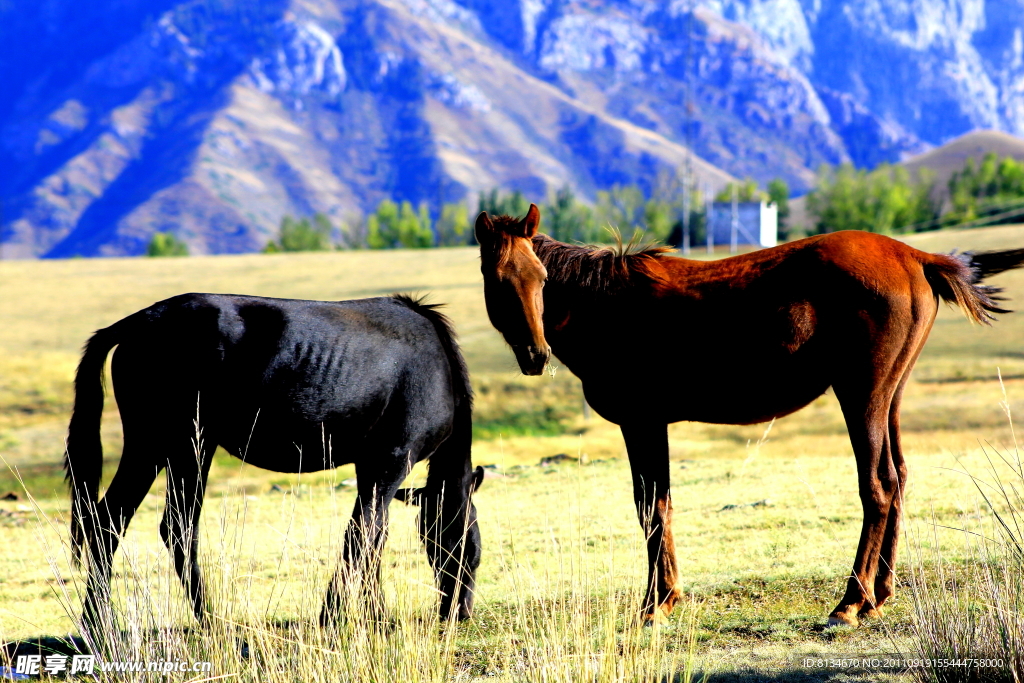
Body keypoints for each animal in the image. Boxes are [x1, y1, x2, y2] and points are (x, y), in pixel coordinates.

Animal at [67, 294, 483, 634]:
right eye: (471, 551)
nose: (460, 613)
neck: (437, 366)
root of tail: (138, 321)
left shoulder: (370, 467)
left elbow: (372, 539)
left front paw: (372, 614)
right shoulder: (392, 460)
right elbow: (362, 536)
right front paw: (337, 615)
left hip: (166, 449)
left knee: (128, 524)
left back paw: (109, 624)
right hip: (175, 445)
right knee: (152, 526)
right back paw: (190, 621)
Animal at [475, 202, 1024, 626]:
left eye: (541, 278)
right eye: (497, 280)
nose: (535, 354)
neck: (605, 307)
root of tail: (915, 256)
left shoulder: (642, 422)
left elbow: (651, 508)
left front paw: (655, 605)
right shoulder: (651, 425)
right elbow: (661, 504)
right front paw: (667, 597)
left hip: (863, 395)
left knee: (879, 487)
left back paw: (850, 602)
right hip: (891, 396)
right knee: (901, 476)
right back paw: (878, 596)